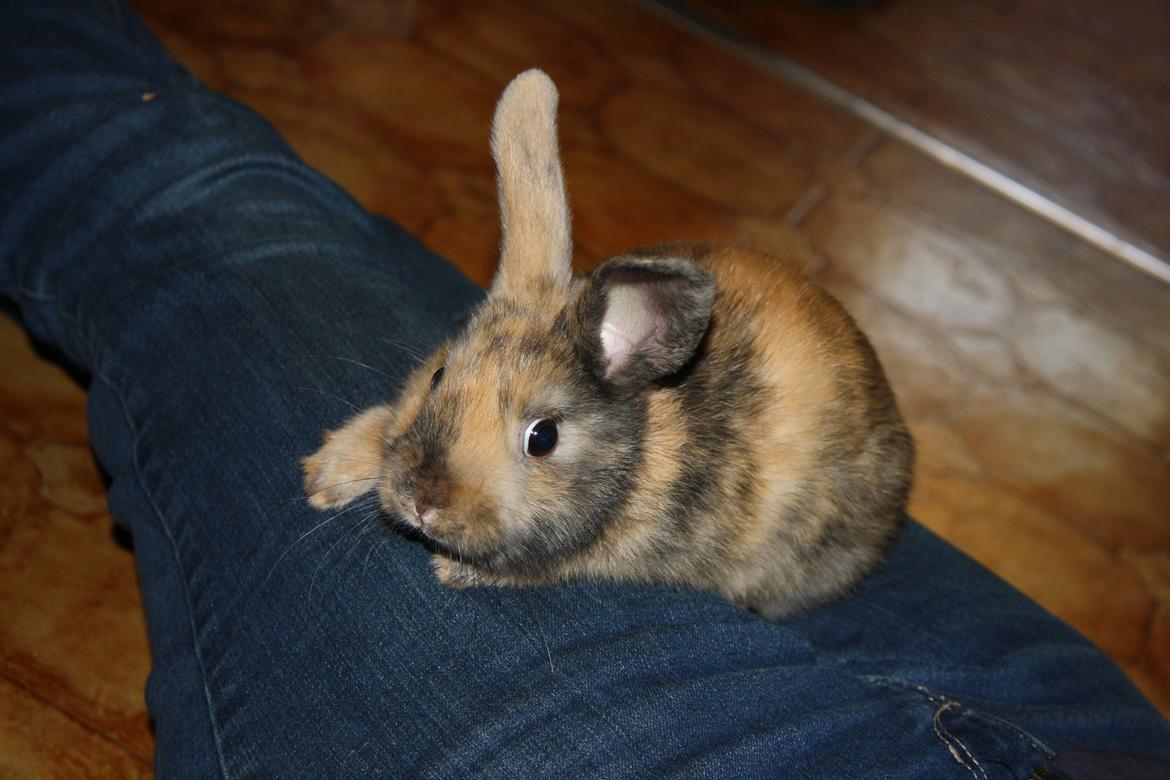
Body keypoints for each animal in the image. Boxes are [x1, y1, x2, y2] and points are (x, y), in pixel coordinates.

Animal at [302, 69, 914, 620]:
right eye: (438, 377)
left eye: (542, 438)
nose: (422, 502)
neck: (638, 451)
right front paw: (327, 473)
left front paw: (452, 569)